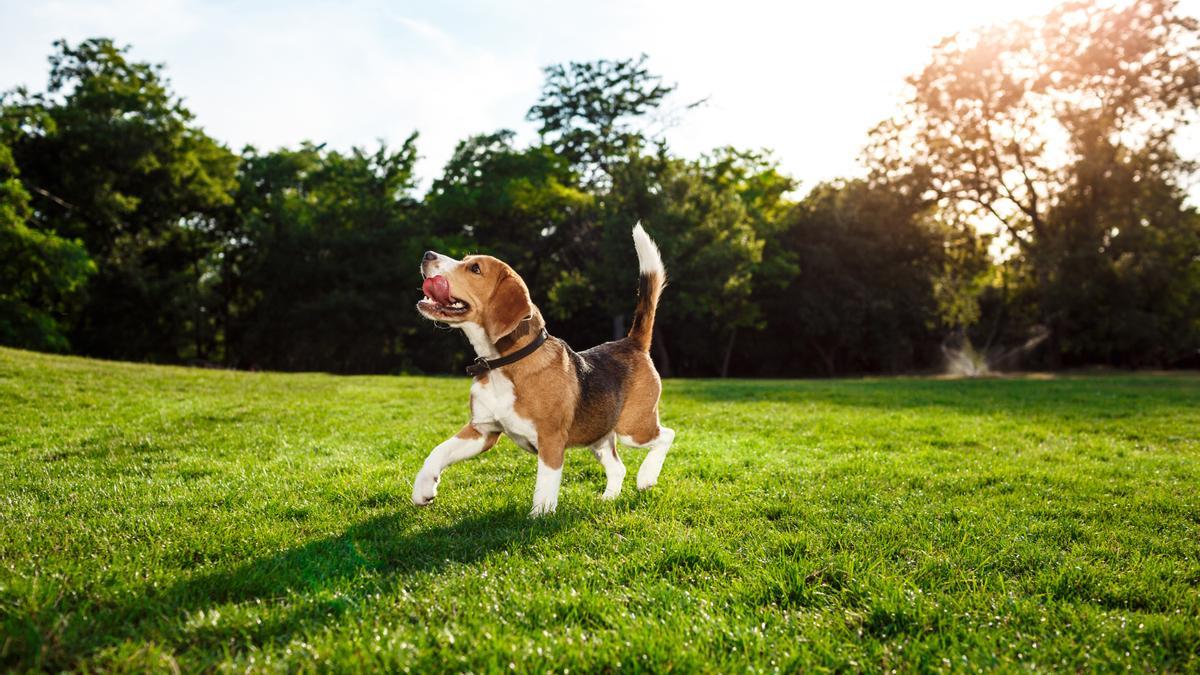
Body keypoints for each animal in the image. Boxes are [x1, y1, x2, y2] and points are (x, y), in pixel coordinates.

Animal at [412, 223, 676, 511]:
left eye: (475, 269)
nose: (427, 254)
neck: (504, 364)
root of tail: (631, 342)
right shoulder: (482, 431)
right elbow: (438, 451)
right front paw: (423, 488)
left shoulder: (551, 440)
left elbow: (545, 487)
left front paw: (539, 516)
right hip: (598, 435)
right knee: (618, 467)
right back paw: (608, 498)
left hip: (633, 428)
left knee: (667, 435)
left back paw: (647, 477)